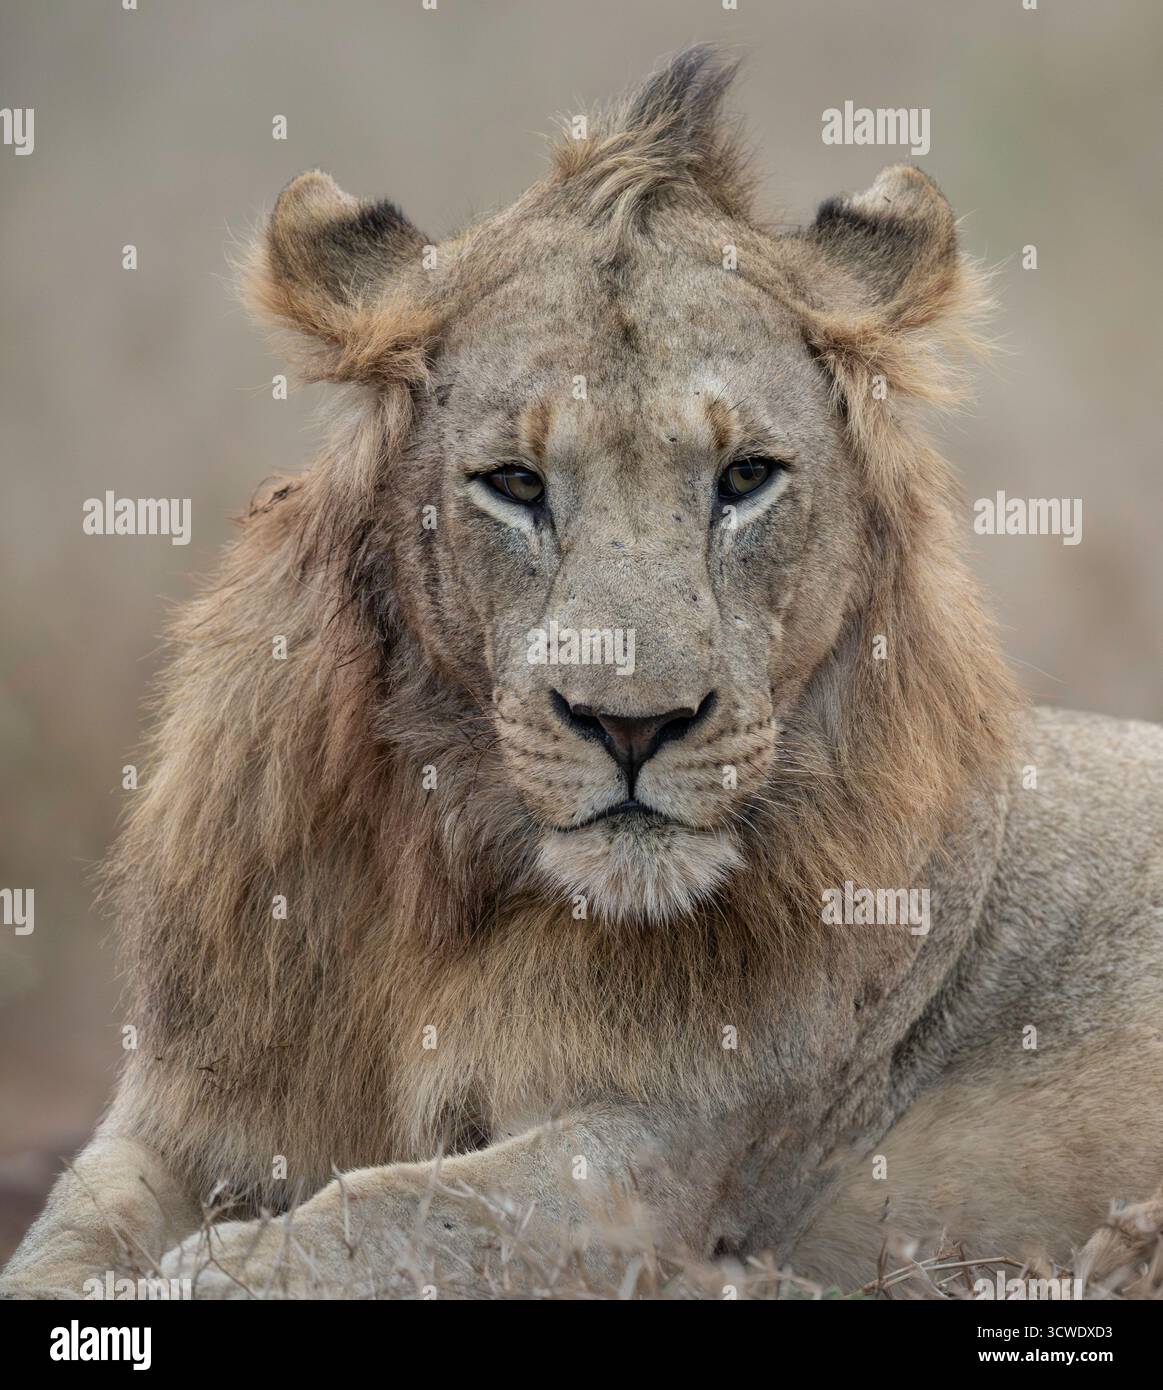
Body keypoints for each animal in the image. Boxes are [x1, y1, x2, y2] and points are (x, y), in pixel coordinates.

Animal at [5, 46, 1163, 1300]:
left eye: (745, 476)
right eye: (513, 484)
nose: (634, 725)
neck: (454, 878)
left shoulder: (641, 1168)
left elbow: (366, 1218)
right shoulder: (182, 1117)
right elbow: (66, 1229)